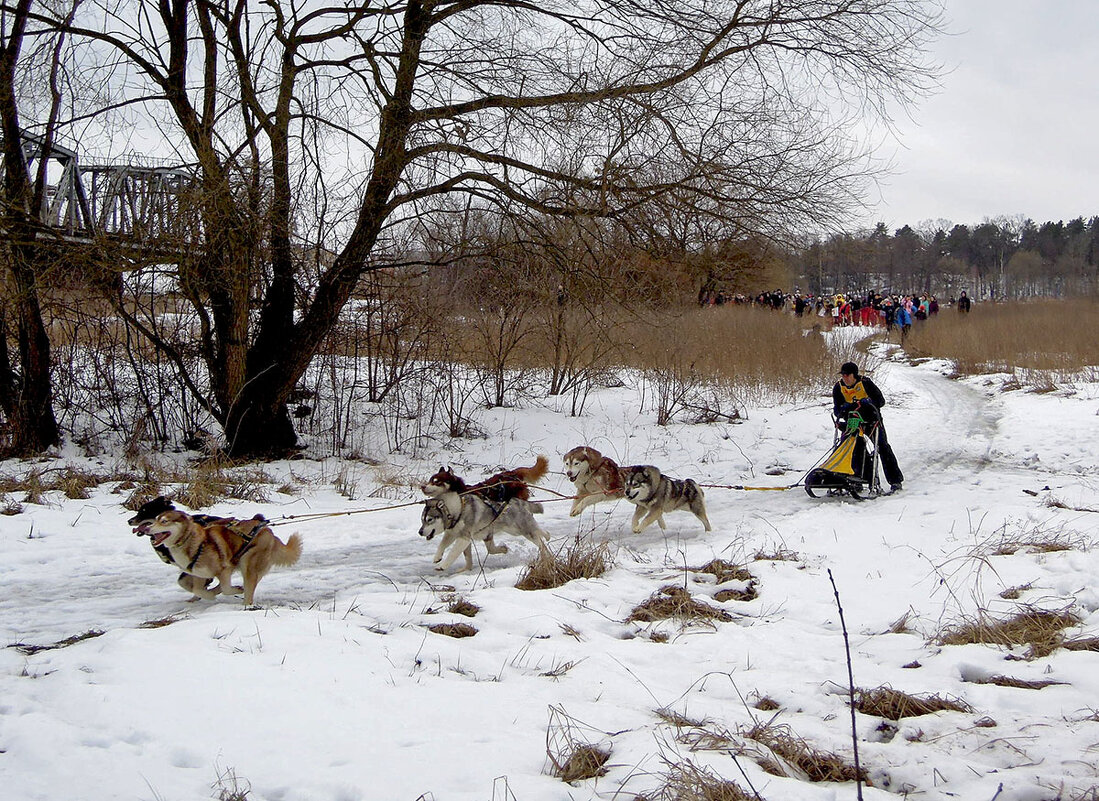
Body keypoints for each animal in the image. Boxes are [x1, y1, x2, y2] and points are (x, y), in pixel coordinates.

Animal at [146, 509, 303, 602]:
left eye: (164, 521)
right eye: (155, 520)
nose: (147, 528)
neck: (195, 543)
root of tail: (266, 529)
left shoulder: (225, 569)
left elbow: (227, 589)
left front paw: (227, 591)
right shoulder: (199, 574)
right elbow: (198, 589)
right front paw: (209, 594)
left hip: (248, 563)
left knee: (248, 588)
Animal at [415, 496, 549, 571]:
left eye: (429, 520)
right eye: (422, 520)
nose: (420, 532)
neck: (456, 513)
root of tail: (520, 501)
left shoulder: (464, 538)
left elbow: (452, 553)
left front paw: (442, 565)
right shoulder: (454, 534)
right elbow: (443, 545)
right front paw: (438, 557)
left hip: (523, 530)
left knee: (540, 540)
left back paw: (546, 551)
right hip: (512, 531)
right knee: (539, 531)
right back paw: (547, 535)